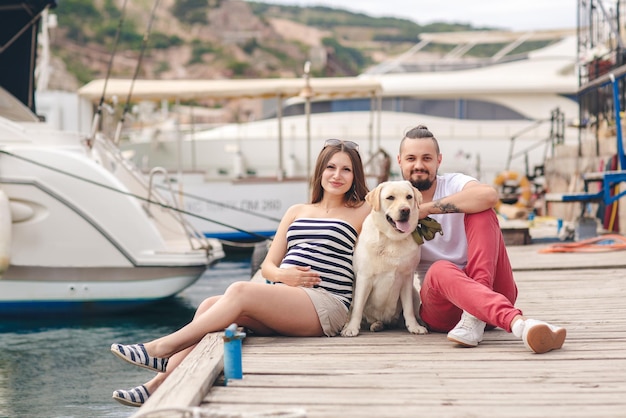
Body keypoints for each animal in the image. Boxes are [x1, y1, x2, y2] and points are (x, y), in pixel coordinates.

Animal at [338, 180, 426, 336]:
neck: (392, 239)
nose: (405, 210)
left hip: (415, 293)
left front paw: (414, 326)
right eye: (390, 197)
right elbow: (358, 308)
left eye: (409, 197)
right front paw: (352, 328)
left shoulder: (407, 278)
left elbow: (408, 308)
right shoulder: (364, 277)